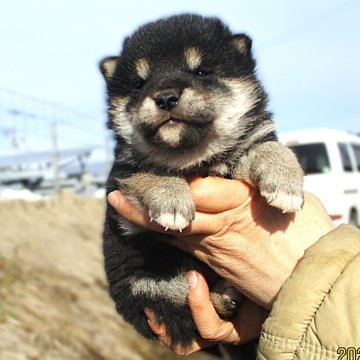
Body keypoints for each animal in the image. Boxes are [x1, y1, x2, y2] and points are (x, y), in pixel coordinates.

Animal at [99, 13, 304, 346]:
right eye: (139, 83)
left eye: (202, 71)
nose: (165, 97)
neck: (196, 158)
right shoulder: (123, 178)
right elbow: (154, 172)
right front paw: (172, 202)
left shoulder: (246, 149)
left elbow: (269, 147)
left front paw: (285, 182)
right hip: (148, 284)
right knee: (182, 305)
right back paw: (224, 296)